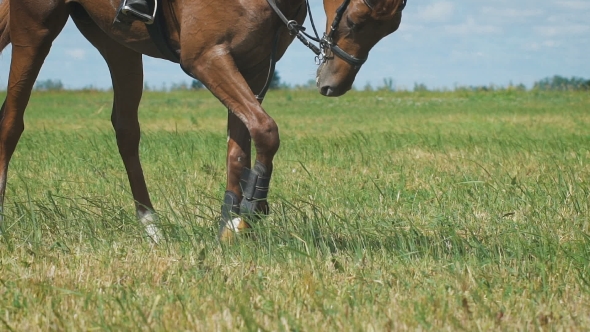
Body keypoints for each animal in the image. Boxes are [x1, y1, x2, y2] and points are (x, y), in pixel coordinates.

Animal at [0, 0, 404, 243]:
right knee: (11, 121)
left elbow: (240, 147)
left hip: (117, 42)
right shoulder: (207, 58)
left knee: (126, 130)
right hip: (36, 26)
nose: (333, 86)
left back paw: (150, 225)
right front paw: (254, 208)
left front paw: (231, 223)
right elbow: (266, 131)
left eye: (390, 29)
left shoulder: (252, 66)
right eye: (355, 19)